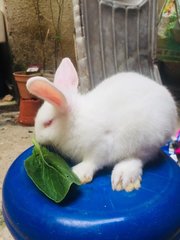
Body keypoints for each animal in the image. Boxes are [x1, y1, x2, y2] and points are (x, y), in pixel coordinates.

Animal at [26, 57, 177, 192]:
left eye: (48, 123)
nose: (37, 139)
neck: (74, 123)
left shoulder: (101, 145)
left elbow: (93, 161)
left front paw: (79, 173)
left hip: (143, 138)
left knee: (142, 157)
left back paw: (123, 178)